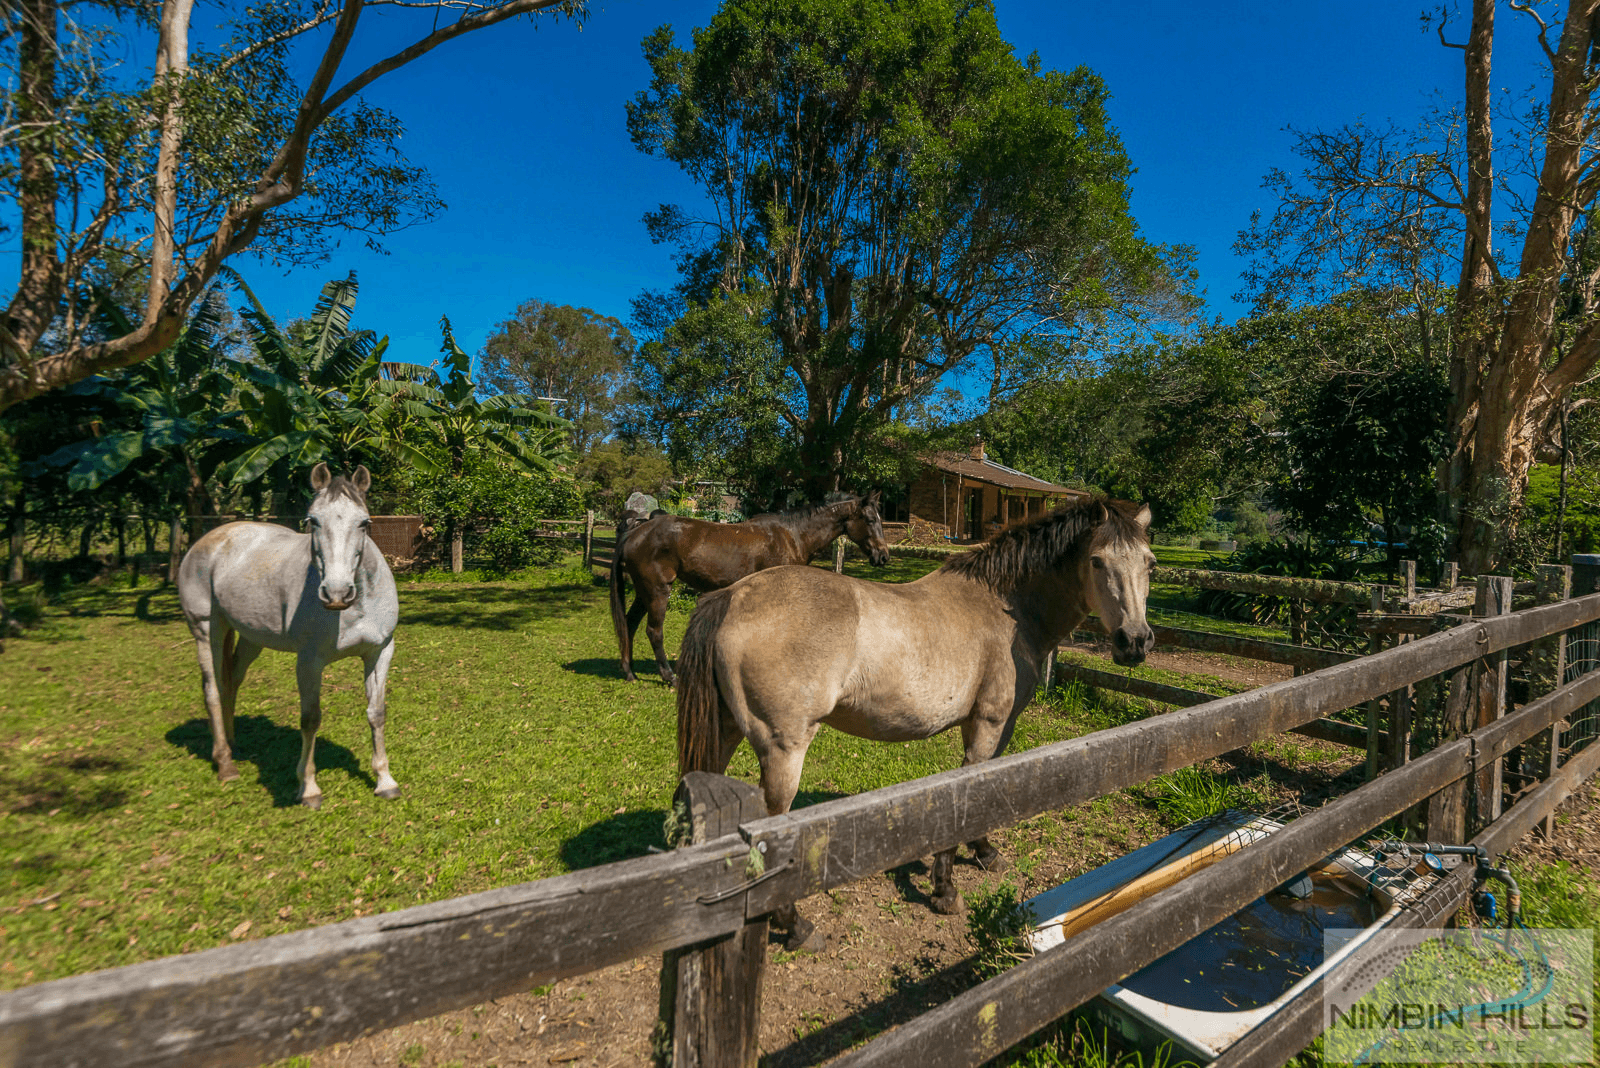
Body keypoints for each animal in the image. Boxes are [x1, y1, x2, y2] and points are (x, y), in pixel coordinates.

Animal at [179, 463, 403, 808]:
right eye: (313, 521)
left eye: (364, 522)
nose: (337, 593)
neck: (356, 607)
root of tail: (210, 539)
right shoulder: (309, 662)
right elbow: (310, 719)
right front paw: (308, 789)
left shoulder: (379, 653)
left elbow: (376, 713)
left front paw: (385, 781)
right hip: (206, 630)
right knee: (212, 690)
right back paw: (225, 763)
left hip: (251, 638)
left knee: (231, 682)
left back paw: (233, 743)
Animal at [608, 492, 896, 684]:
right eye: (870, 519)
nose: (883, 556)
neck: (793, 535)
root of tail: (635, 531)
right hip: (658, 590)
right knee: (653, 631)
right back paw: (669, 677)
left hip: (644, 592)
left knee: (629, 624)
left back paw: (629, 672)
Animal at [675, 495, 1152, 946]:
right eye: (1097, 560)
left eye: (1149, 563)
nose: (1135, 641)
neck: (1006, 607)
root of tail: (732, 596)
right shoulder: (988, 724)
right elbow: (972, 795)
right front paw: (946, 889)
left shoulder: (995, 728)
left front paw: (983, 853)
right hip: (783, 752)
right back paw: (796, 926)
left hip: (725, 734)